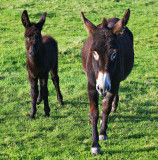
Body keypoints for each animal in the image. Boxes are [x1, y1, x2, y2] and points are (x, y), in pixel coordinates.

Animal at [81, 8, 134, 154]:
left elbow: (106, 108)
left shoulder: (114, 82)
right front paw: (94, 145)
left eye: (114, 54)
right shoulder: (91, 84)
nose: (103, 87)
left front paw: (102, 133)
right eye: (94, 53)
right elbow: (94, 113)